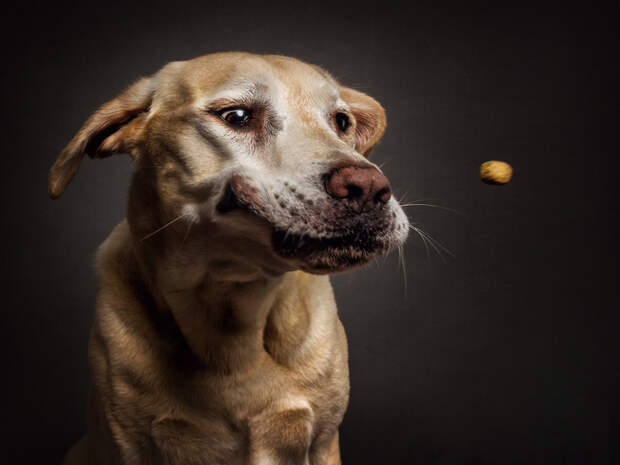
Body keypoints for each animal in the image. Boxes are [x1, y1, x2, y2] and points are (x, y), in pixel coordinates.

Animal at [50, 51, 410, 464]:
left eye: (341, 122)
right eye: (236, 116)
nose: (368, 188)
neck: (230, 304)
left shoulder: (322, 442)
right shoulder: (129, 444)